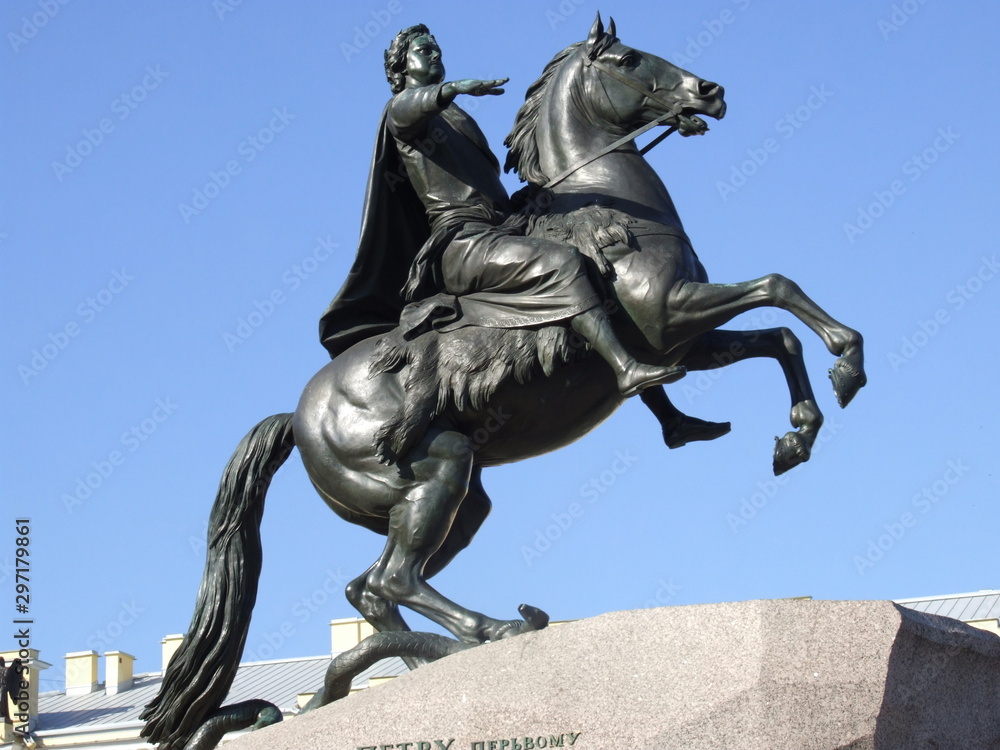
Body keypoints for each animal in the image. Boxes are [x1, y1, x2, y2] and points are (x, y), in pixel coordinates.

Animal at [143, 16, 868, 750]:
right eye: (627, 58)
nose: (709, 91)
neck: (614, 211)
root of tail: (296, 417)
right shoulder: (669, 316)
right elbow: (778, 287)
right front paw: (846, 363)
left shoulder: (688, 339)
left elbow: (777, 337)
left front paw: (799, 434)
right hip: (439, 469)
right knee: (395, 579)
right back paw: (497, 629)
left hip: (455, 502)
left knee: (369, 589)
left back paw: (398, 674)